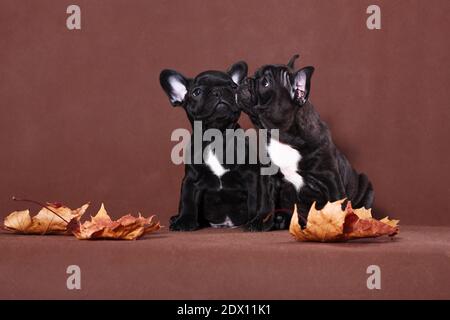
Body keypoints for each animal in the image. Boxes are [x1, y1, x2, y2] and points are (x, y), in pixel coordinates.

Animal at [160, 62, 276, 231]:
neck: (217, 136)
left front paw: (255, 221)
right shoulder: (191, 179)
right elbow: (187, 200)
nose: (218, 91)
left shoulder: (252, 177)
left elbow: (255, 199)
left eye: (233, 87)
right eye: (196, 92)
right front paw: (184, 221)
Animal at [237, 55, 374, 224]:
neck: (283, 138)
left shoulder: (331, 181)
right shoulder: (269, 178)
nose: (244, 80)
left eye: (265, 83)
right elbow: (266, 202)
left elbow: (337, 205)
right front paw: (258, 222)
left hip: (366, 185)